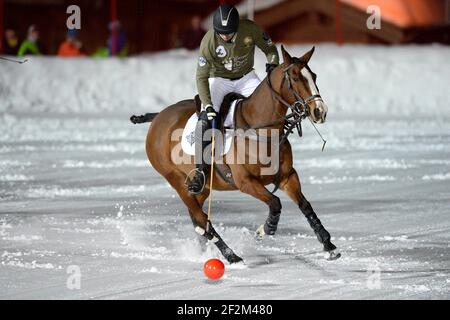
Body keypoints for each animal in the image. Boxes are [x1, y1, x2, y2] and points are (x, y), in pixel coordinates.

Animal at [132, 46, 340, 264]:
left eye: (314, 76)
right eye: (295, 78)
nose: (320, 111)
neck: (262, 131)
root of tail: (158, 116)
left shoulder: (287, 176)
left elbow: (305, 206)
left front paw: (329, 245)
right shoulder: (244, 181)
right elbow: (275, 203)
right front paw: (265, 230)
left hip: (203, 189)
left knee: (198, 221)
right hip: (177, 181)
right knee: (201, 219)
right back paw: (231, 255)